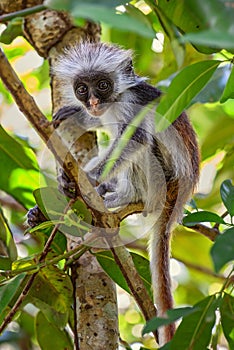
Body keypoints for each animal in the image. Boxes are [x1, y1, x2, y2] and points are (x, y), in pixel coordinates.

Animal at [28, 42, 198, 346]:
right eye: (82, 89)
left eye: (103, 85)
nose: (94, 102)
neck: (116, 99)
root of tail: (181, 194)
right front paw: (78, 115)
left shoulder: (132, 104)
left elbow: (135, 138)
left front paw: (88, 178)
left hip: (162, 181)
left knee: (144, 146)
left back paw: (116, 199)